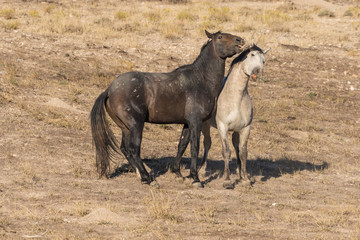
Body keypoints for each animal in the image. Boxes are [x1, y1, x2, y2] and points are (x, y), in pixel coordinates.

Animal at [90, 30, 245, 186]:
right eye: (220, 37)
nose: (240, 40)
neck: (201, 79)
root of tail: (110, 90)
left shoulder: (187, 123)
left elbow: (182, 145)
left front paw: (178, 173)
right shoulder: (196, 122)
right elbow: (194, 147)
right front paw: (195, 178)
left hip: (126, 128)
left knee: (125, 149)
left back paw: (141, 176)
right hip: (136, 125)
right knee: (133, 149)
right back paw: (147, 178)